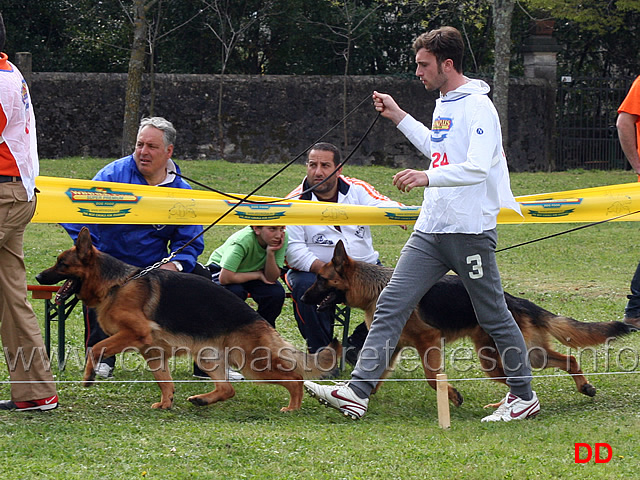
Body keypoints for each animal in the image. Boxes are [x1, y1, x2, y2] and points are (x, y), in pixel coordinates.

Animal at [36, 229, 340, 412]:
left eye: (62, 264)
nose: (38, 277)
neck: (117, 284)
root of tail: (256, 317)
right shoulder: (153, 352)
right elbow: (165, 382)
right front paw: (166, 403)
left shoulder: (135, 333)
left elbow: (96, 348)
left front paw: (88, 376)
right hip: (208, 358)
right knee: (228, 388)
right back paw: (203, 399)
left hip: (252, 363)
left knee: (296, 377)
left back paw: (293, 406)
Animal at [302, 240, 636, 404]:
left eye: (321, 279)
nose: (302, 297)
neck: (376, 286)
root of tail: (514, 299)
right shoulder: (392, 345)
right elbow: (375, 371)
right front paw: (357, 395)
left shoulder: (428, 340)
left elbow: (431, 377)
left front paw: (450, 396)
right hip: (525, 355)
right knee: (568, 359)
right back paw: (583, 387)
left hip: (503, 358)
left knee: (546, 366)